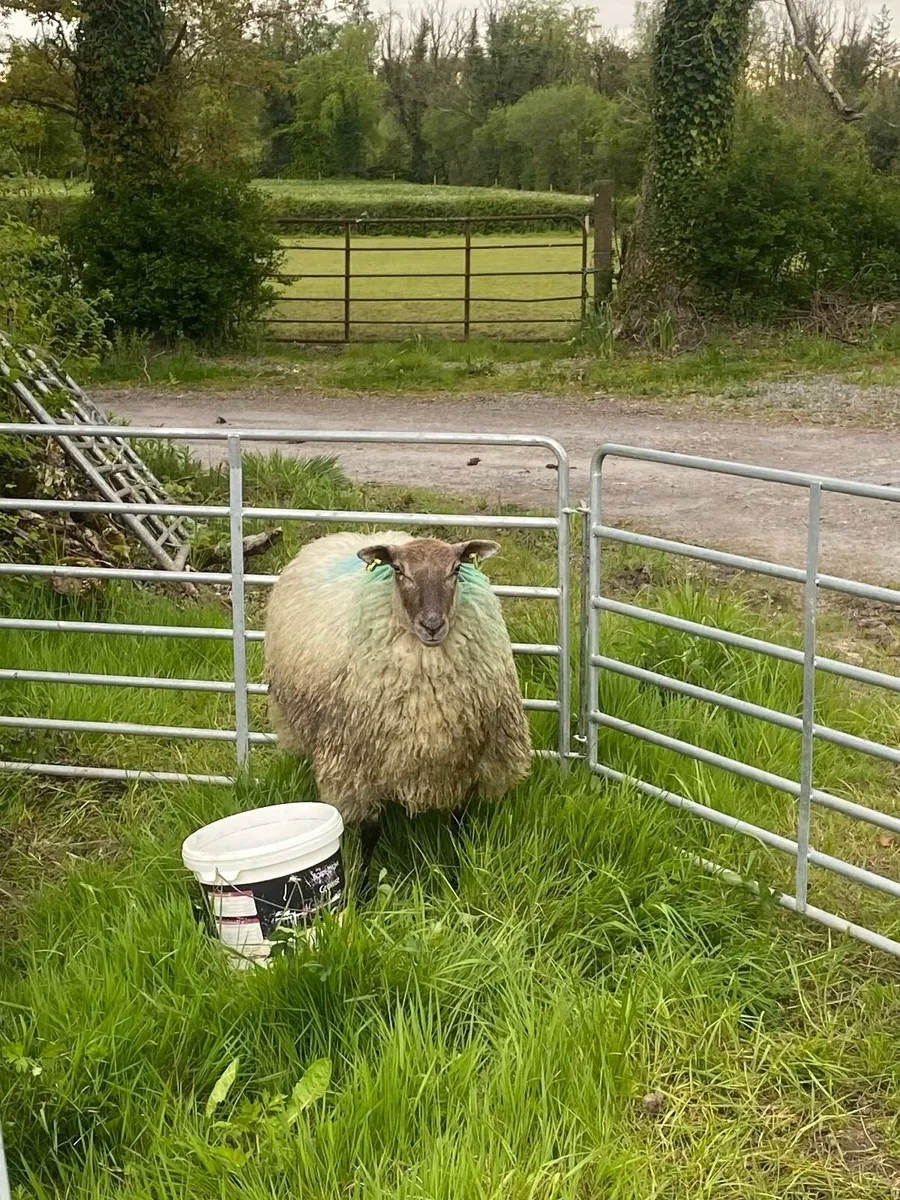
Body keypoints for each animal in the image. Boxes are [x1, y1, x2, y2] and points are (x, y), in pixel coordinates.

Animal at [264, 530, 532, 890]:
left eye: (456, 569)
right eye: (399, 570)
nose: (432, 625)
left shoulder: (465, 763)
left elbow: (457, 822)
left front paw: (457, 875)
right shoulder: (359, 767)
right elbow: (371, 831)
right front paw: (362, 890)